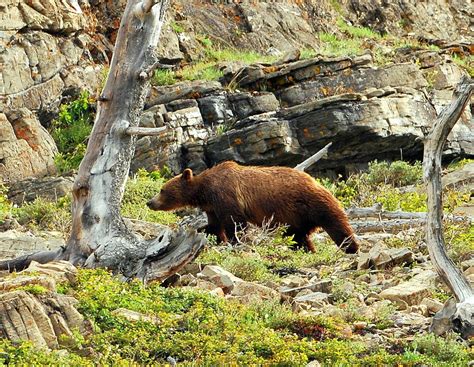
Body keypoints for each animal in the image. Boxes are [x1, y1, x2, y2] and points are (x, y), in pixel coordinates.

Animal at [146, 162, 358, 254]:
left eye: (162, 189)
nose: (150, 202)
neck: (205, 191)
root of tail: (318, 182)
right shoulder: (212, 207)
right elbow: (215, 226)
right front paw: (213, 237)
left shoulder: (226, 195)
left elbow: (234, 222)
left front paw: (236, 241)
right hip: (295, 218)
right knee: (298, 236)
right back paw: (307, 250)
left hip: (312, 204)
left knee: (337, 225)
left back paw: (351, 248)